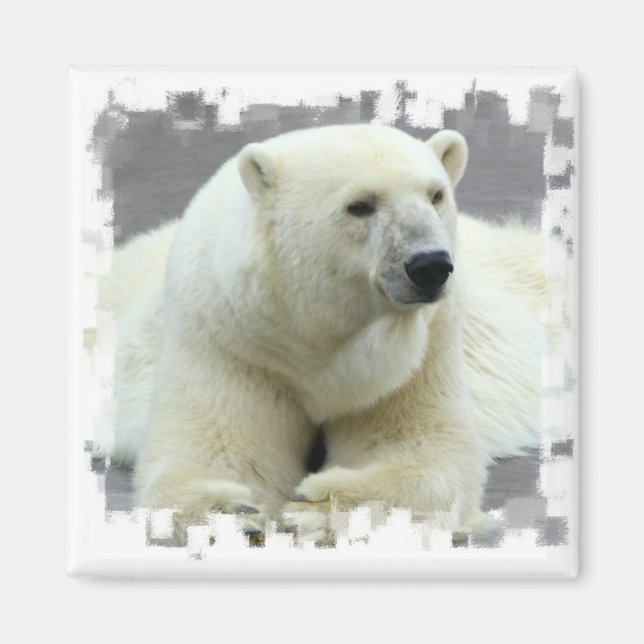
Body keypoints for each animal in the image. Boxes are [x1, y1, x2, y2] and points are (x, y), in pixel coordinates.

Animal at [98, 124, 548, 544]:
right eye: (360, 205)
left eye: (436, 195)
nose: (430, 266)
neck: (316, 329)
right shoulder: (230, 339)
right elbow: (219, 450)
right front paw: (230, 512)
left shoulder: (420, 350)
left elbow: (422, 450)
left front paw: (316, 507)